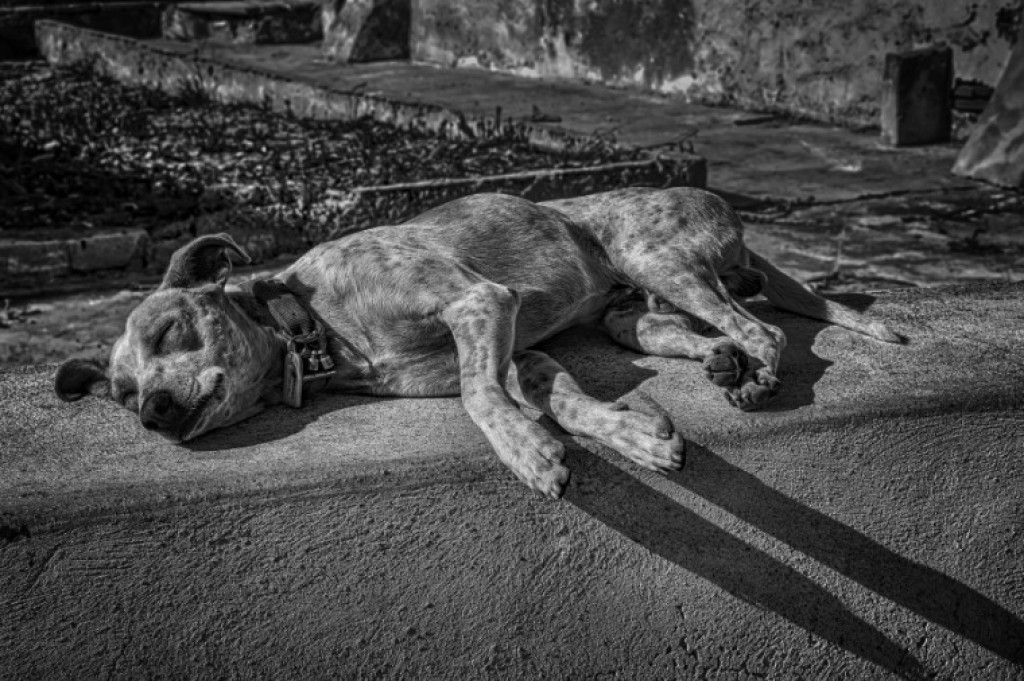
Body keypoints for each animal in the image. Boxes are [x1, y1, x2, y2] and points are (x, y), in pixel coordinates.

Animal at [55, 187, 900, 498]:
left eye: (170, 328)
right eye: (121, 395)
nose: (152, 412)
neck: (315, 324)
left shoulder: (479, 302)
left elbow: (475, 394)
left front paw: (527, 453)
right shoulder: (524, 351)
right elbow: (567, 402)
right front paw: (632, 433)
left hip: (654, 256)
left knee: (763, 325)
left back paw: (755, 373)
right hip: (637, 312)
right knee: (701, 330)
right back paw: (725, 364)